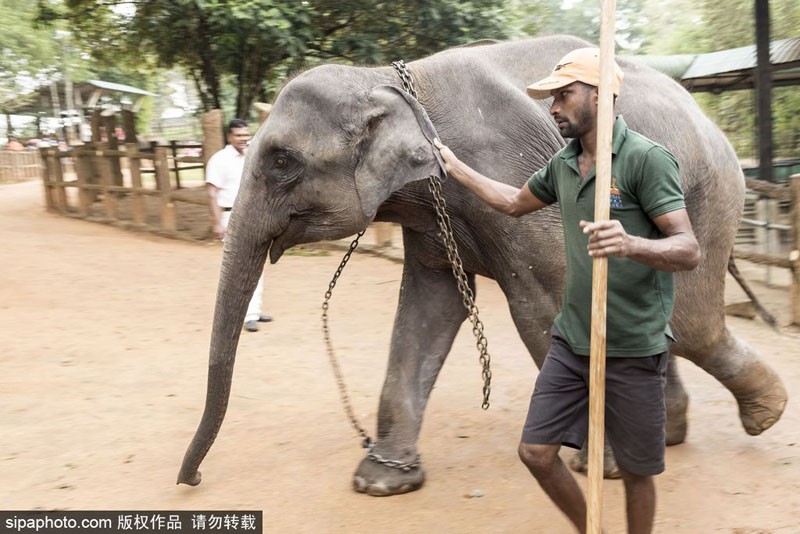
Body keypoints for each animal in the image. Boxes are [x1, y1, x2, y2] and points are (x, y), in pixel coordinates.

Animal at [177, 34, 788, 498]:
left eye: (282, 161)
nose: (193, 480)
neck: (389, 77)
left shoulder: (510, 171)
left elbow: (543, 308)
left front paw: (601, 468)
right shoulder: (432, 214)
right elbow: (427, 311)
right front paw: (381, 482)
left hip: (707, 198)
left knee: (692, 323)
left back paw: (765, 415)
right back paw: (670, 437)